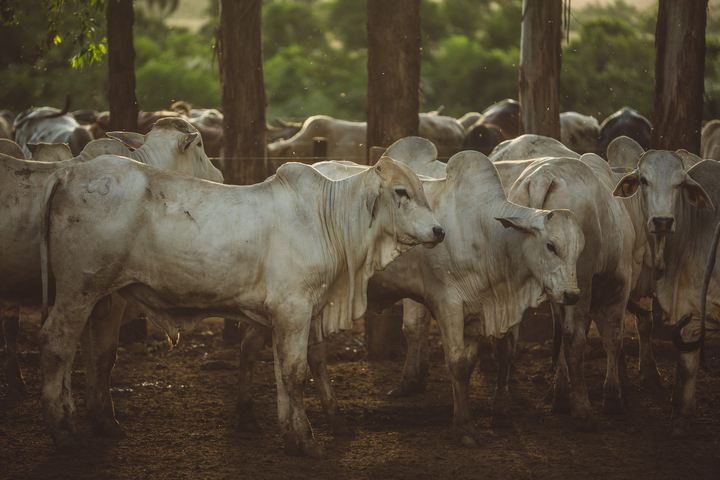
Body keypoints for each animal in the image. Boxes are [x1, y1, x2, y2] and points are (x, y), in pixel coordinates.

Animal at [39, 156, 444, 456]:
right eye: (401, 191)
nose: (439, 231)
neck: (327, 219)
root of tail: (68, 173)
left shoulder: (304, 311)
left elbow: (301, 368)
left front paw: (303, 432)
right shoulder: (293, 308)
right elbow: (294, 373)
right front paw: (305, 440)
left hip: (98, 299)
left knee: (84, 354)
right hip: (79, 289)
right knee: (56, 346)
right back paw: (63, 434)